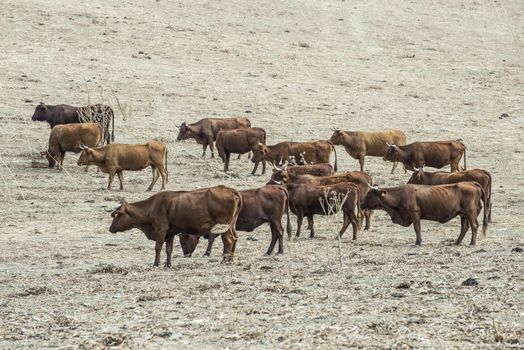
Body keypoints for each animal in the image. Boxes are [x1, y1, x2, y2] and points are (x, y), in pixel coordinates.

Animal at [109, 187, 245, 266]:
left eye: (117, 215)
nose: (110, 228)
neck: (151, 207)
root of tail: (230, 190)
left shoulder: (161, 231)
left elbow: (158, 247)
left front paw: (156, 263)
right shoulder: (170, 233)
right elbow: (169, 249)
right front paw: (168, 265)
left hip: (223, 225)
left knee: (228, 240)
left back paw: (224, 260)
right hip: (231, 225)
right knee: (234, 238)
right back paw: (230, 259)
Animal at [360, 183, 488, 246]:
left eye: (369, 194)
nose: (360, 204)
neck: (400, 195)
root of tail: (474, 185)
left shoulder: (415, 213)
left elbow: (417, 228)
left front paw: (418, 242)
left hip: (470, 212)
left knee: (474, 226)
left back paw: (472, 243)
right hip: (463, 214)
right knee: (465, 227)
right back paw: (457, 242)